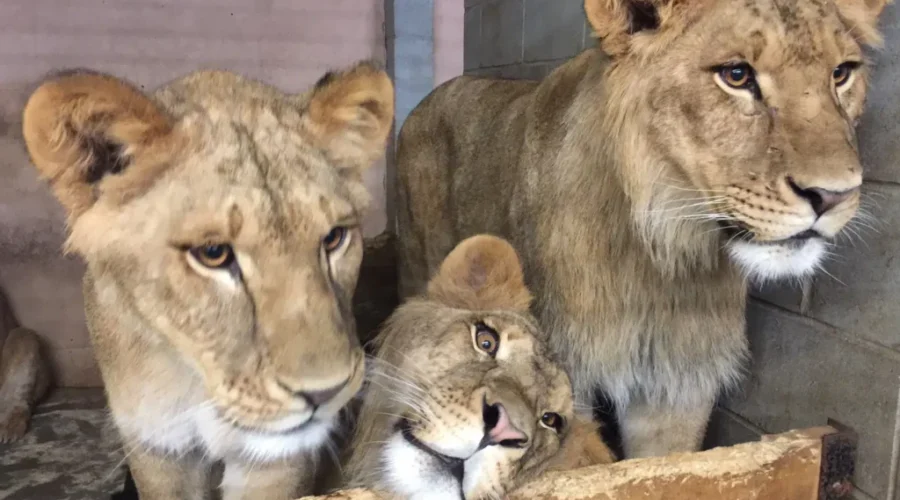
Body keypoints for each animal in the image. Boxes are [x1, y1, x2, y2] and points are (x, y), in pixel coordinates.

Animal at [20, 61, 393, 499]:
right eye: (213, 253)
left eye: (334, 238)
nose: (326, 392)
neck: (198, 383)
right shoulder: (156, 448)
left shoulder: (272, 461)